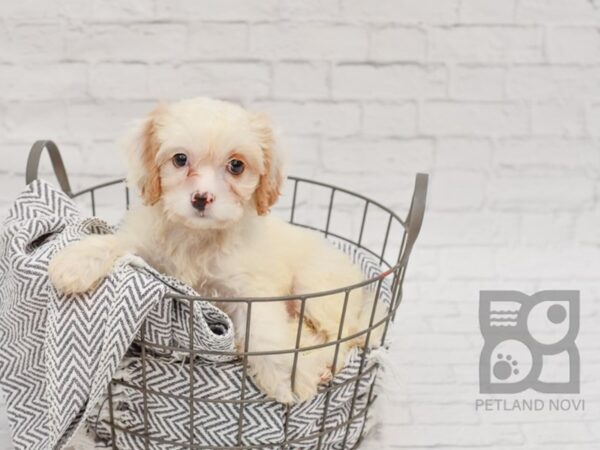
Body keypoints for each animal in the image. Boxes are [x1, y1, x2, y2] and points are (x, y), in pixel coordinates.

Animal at [51, 96, 380, 402]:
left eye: (236, 165)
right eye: (180, 159)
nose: (201, 198)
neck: (197, 237)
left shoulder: (250, 290)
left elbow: (267, 333)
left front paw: (286, 378)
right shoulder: (146, 247)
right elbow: (117, 242)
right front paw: (75, 263)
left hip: (317, 291)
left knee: (342, 338)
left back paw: (319, 366)